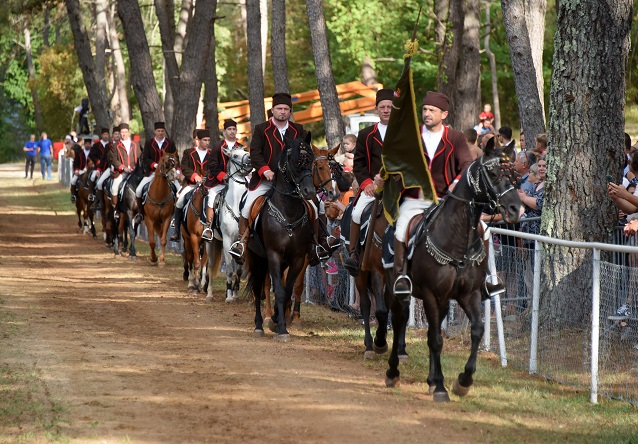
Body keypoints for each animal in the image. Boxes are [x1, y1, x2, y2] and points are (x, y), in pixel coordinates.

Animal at [208, 147, 252, 304]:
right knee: (210, 265)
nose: (250, 160)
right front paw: (228, 295)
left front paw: (235, 293)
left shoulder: (241, 243)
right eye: (235, 155)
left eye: (247, 152)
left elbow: (238, 270)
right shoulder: (227, 240)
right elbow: (229, 269)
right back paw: (209, 294)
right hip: (210, 242)